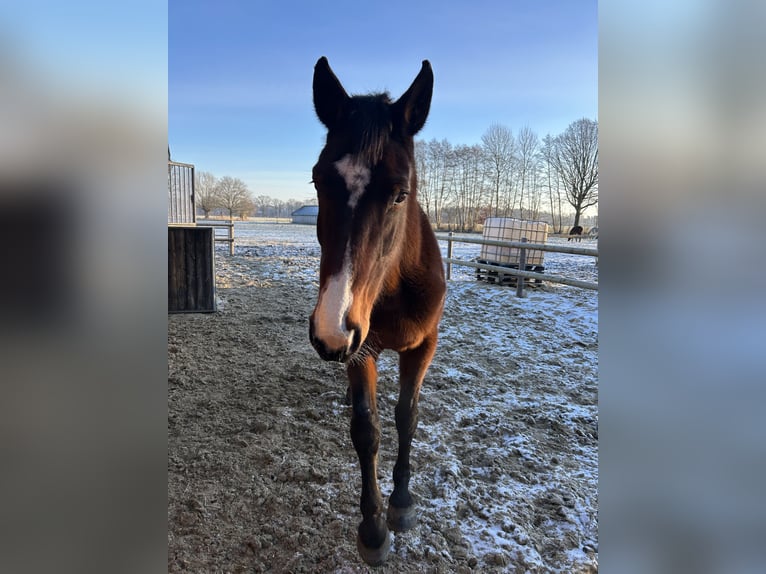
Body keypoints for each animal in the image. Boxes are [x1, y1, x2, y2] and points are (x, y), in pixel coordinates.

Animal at [309, 56, 446, 566]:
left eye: (400, 193)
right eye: (318, 180)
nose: (329, 331)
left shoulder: (423, 346)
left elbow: (408, 415)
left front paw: (402, 504)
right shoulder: (360, 350)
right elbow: (366, 430)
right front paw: (372, 528)